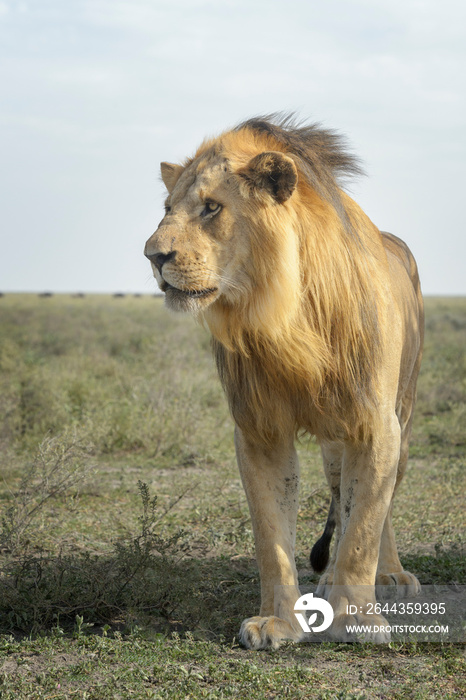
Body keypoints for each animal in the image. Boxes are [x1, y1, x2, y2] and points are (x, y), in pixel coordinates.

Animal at [144, 116, 424, 652]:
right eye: (168, 209)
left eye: (212, 207)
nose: (153, 256)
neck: (280, 315)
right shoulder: (259, 430)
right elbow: (271, 536)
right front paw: (276, 622)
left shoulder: (375, 424)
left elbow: (363, 532)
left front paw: (355, 619)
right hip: (337, 443)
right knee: (343, 496)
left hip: (401, 419)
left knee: (378, 508)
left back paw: (390, 575)